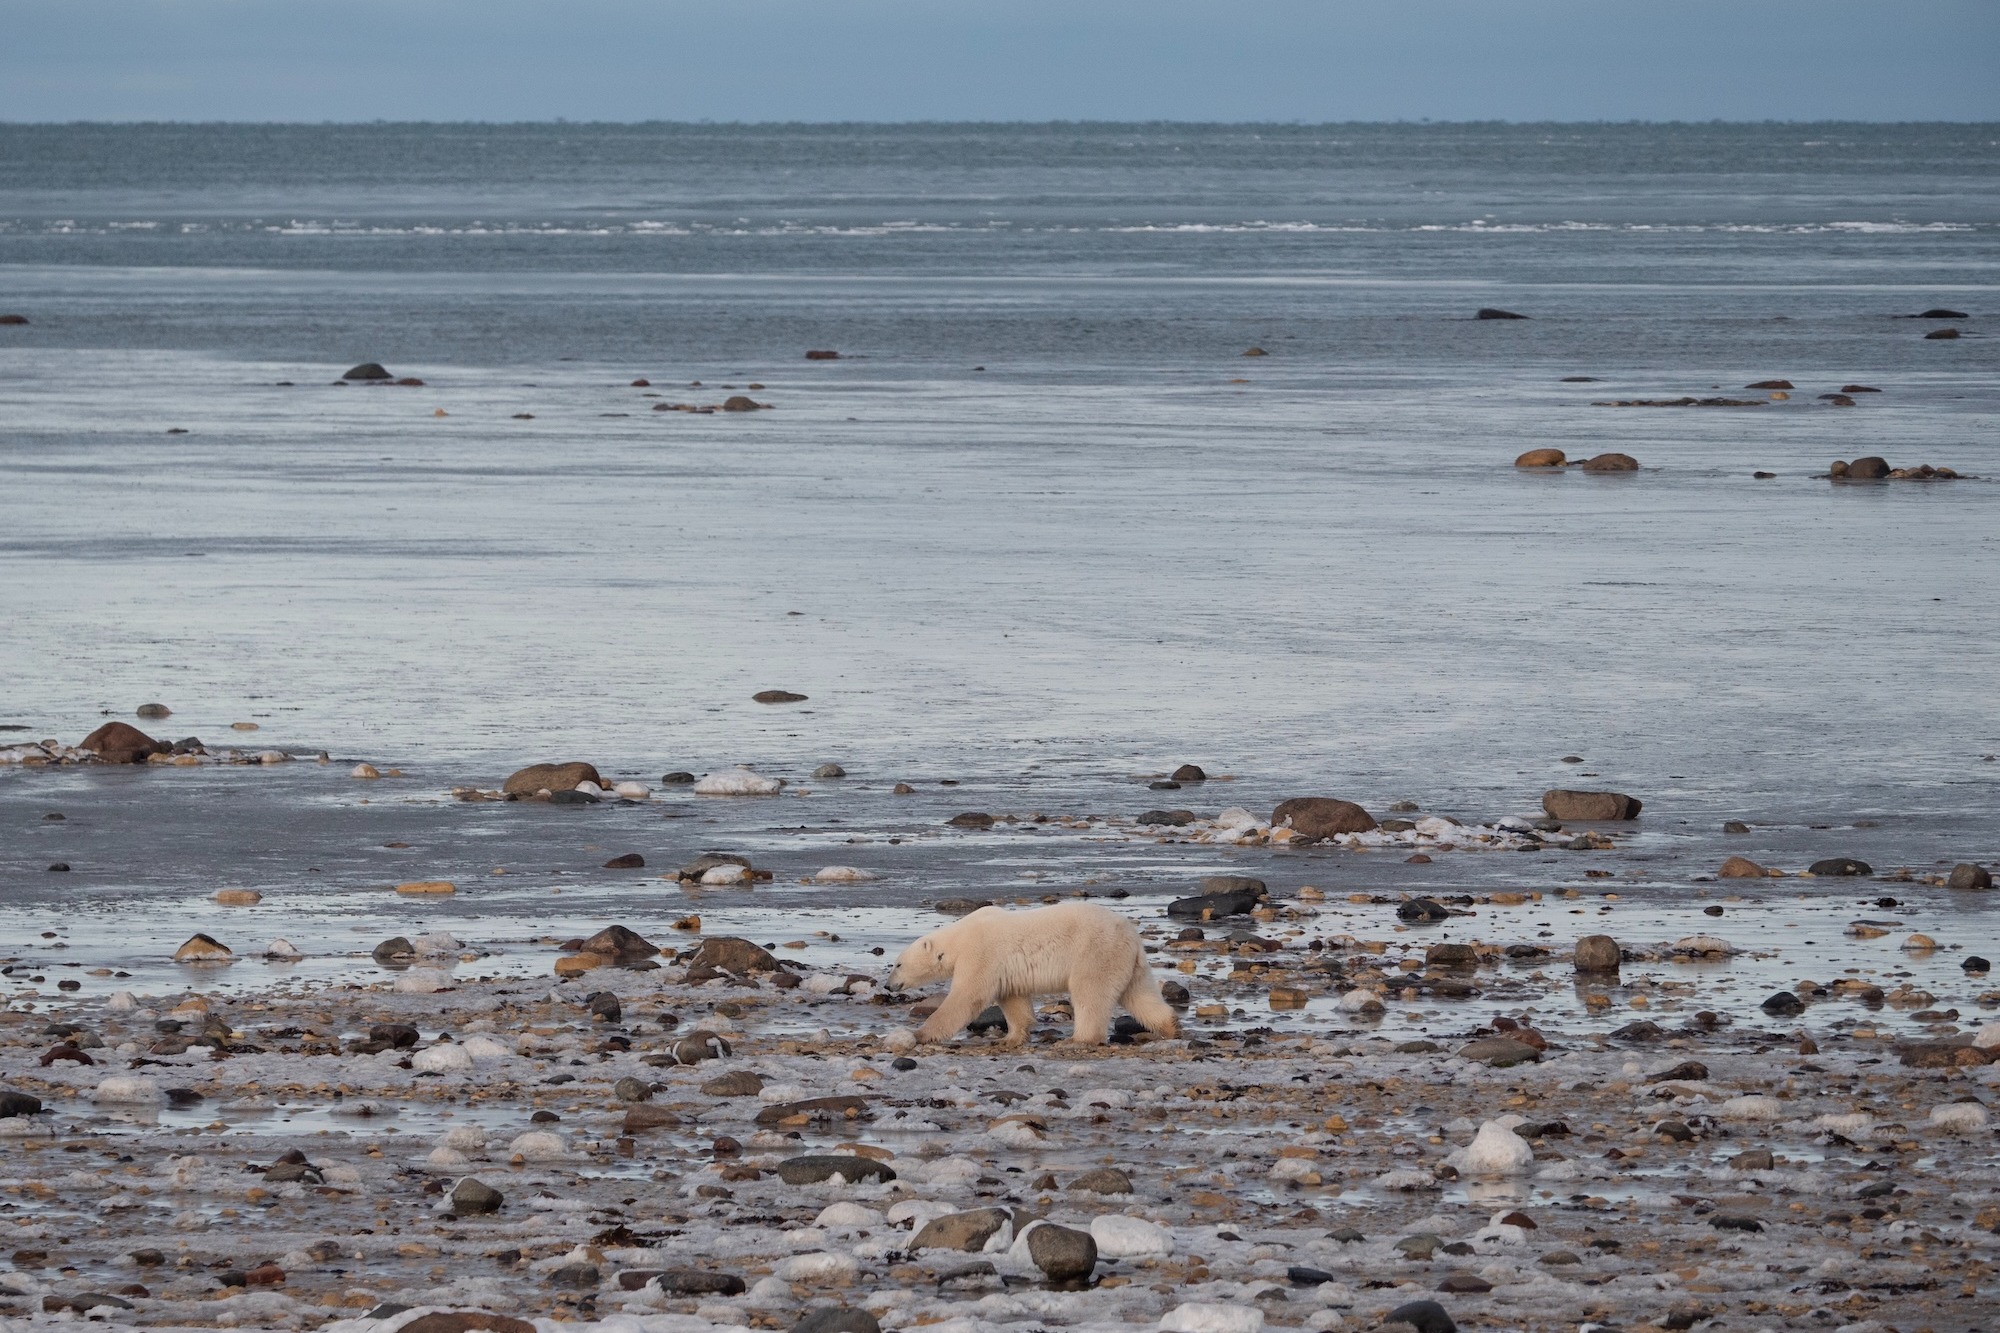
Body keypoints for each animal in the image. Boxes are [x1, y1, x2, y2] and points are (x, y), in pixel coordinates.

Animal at [887, 902, 1179, 1047]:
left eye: (898, 964)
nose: (889, 986)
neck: (959, 938)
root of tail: (1131, 936)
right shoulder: (1004, 969)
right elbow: (1013, 999)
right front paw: (1012, 1037)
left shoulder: (981, 953)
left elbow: (967, 996)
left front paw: (919, 1035)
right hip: (1126, 961)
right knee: (1140, 993)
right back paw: (1170, 1026)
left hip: (1096, 952)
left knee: (1090, 993)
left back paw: (1078, 1040)